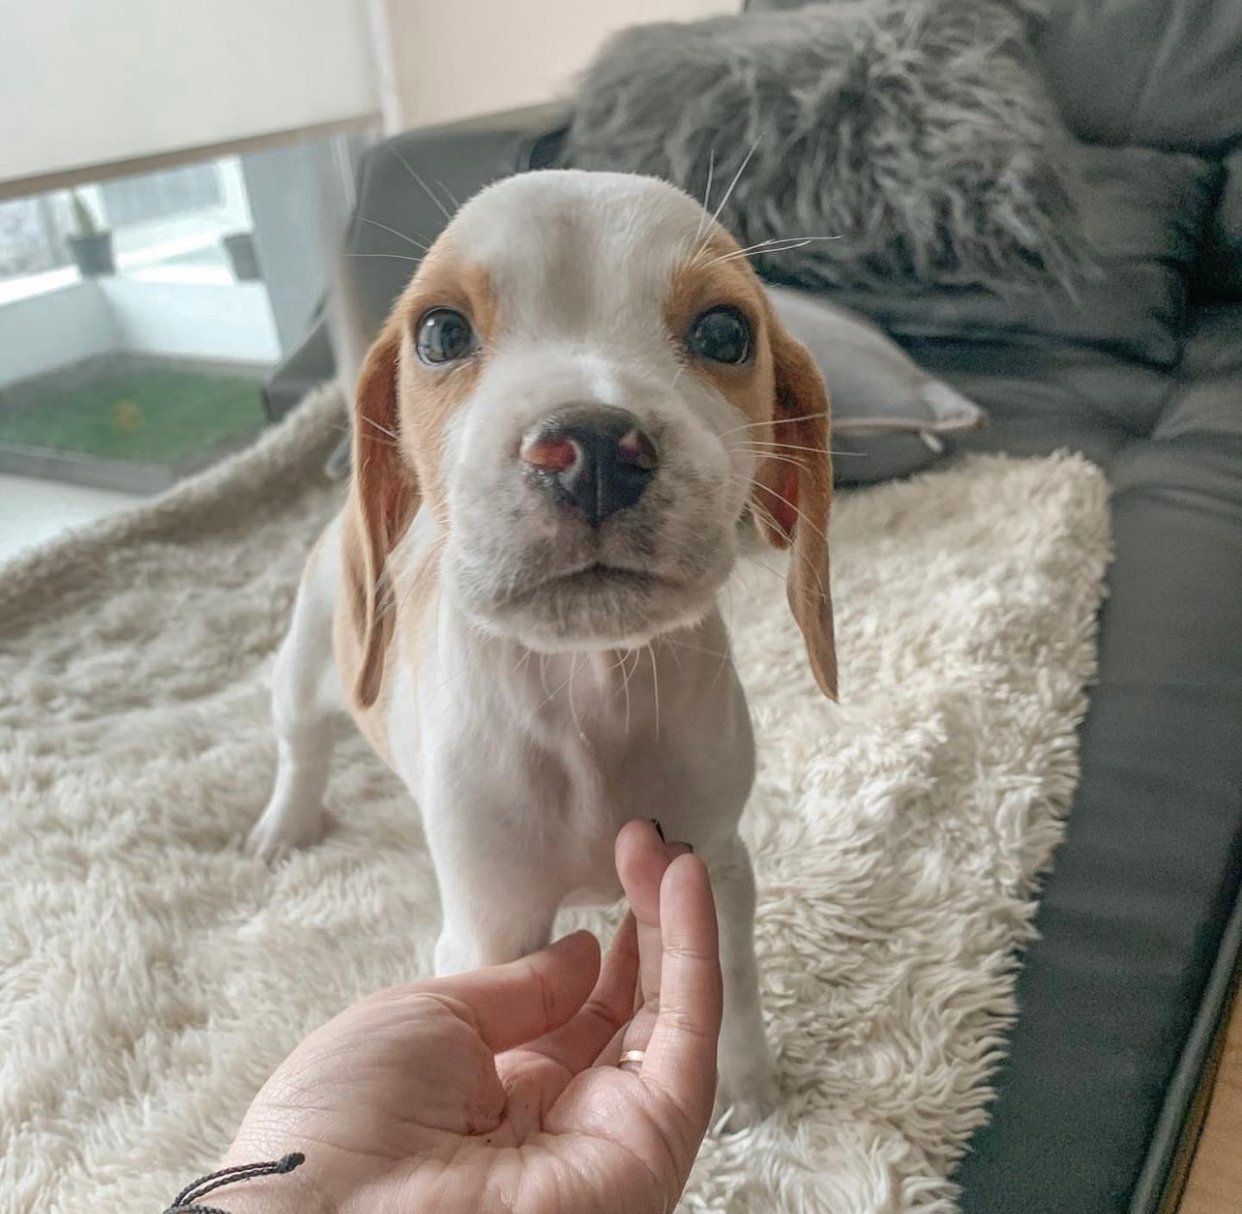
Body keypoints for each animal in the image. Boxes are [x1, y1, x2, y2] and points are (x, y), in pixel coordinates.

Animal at [246, 168, 836, 1123]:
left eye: (724, 331)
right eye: (441, 332)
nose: (591, 446)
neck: (587, 689)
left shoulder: (714, 860)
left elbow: (730, 983)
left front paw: (745, 1093)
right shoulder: (492, 926)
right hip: (306, 663)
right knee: (302, 746)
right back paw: (285, 823)